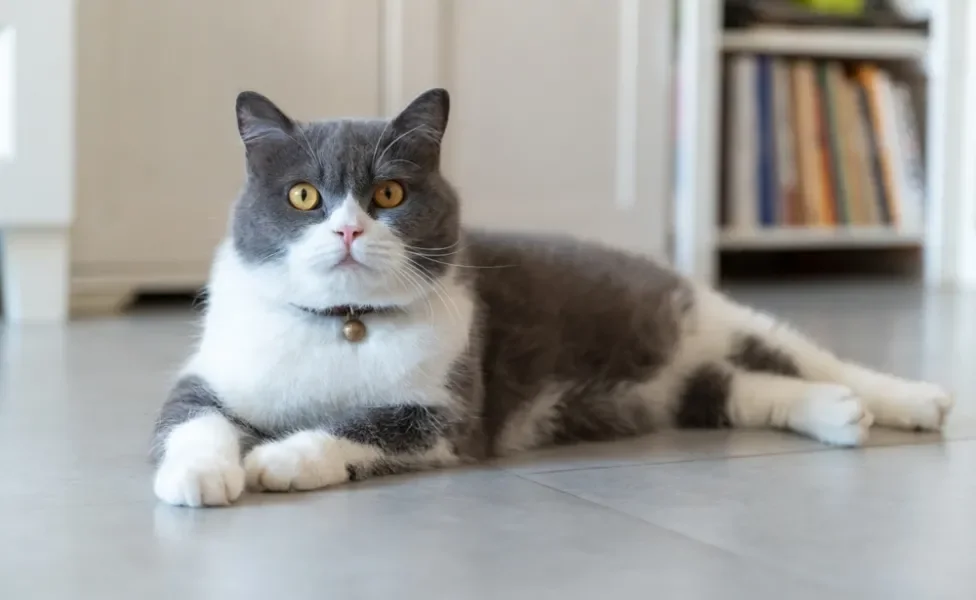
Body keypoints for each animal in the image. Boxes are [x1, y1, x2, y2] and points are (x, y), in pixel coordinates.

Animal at [152, 89, 952, 506]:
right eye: (303, 196)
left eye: (389, 195)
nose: (349, 228)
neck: (346, 325)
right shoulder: (211, 373)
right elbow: (190, 417)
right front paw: (200, 474)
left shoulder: (446, 413)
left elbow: (362, 427)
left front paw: (281, 459)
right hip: (673, 388)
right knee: (735, 388)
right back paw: (835, 414)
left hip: (715, 315)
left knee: (811, 358)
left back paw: (912, 401)